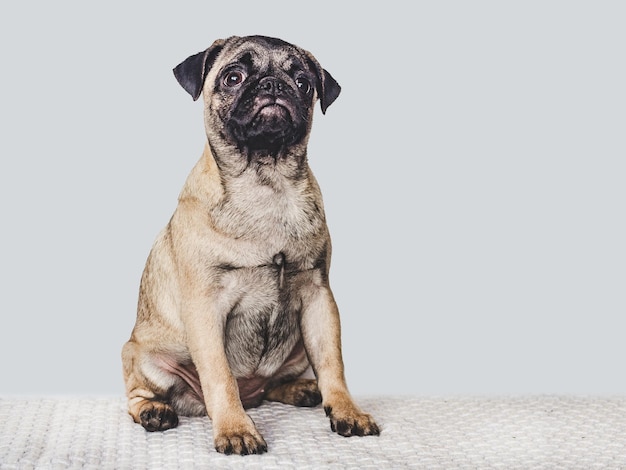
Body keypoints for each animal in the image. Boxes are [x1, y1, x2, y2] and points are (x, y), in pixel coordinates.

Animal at [120, 35, 378, 454]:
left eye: (304, 83)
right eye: (233, 77)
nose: (273, 85)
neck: (266, 184)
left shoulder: (319, 298)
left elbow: (332, 365)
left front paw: (345, 410)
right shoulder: (206, 308)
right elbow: (220, 376)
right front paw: (235, 429)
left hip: (296, 346)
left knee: (273, 386)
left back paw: (302, 389)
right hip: (144, 355)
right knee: (140, 394)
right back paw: (154, 412)